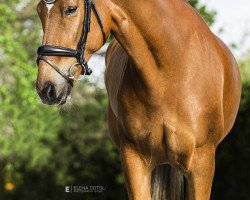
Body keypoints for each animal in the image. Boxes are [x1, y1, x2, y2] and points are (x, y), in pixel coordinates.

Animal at [36, 0, 241, 198]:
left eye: (71, 9)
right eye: (39, 11)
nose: (46, 88)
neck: (172, 70)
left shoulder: (201, 164)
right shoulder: (133, 159)